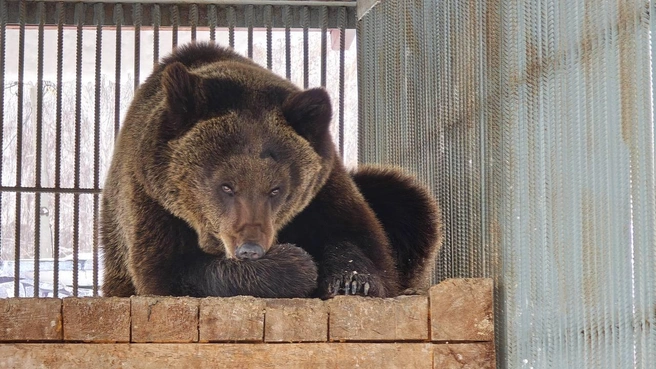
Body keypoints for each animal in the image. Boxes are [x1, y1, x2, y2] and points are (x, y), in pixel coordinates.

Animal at [101, 41, 440, 298]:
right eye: (226, 185)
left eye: (276, 189)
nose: (249, 248)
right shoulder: (153, 203)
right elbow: (173, 272)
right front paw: (296, 264)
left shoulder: (325, 188)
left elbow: (363, 242)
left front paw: (352, 279)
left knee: (403, 198)